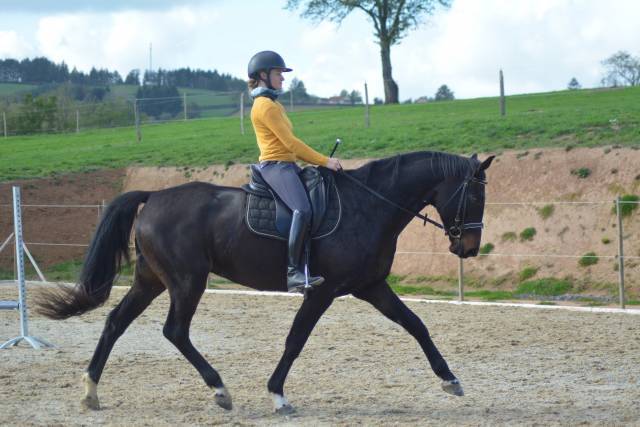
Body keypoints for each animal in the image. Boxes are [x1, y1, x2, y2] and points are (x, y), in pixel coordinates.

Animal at [36, 150, 494, 414]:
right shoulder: (323, 290)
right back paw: (219, 389)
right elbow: (296, 339)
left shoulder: (371, 286)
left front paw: (450, 380)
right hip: (187, 280)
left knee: (116, 322)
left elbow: (416, 324)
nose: (470, 248)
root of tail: (153, 196)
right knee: (175, 330)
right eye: (475, 195)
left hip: (152, 281)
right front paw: (278, 394)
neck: (369, 205)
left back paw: (91, 392)